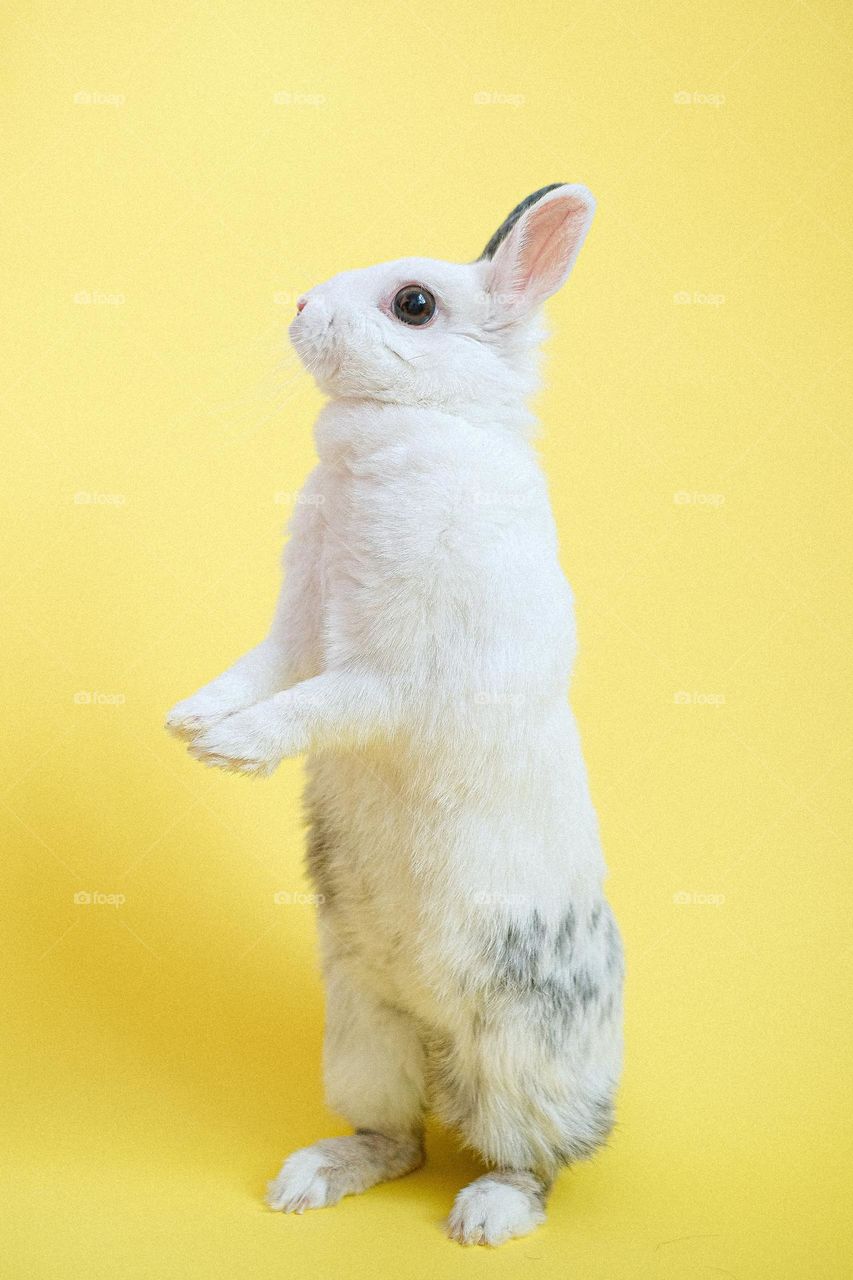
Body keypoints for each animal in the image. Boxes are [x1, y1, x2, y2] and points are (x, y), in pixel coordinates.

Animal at [166, 183, 623, 1247]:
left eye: (413, 305)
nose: (299, 304)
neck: (412, 425)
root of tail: (438, 1037)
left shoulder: (393, 673)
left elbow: (318, 703)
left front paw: (235, 749)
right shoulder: (298, 627)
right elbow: (261, 670)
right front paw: (191, 724)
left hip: (523, 1058)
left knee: (534, 1158)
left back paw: (486, 1215)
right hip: (362, 1030)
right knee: (399, 1138)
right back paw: (313, 1177)